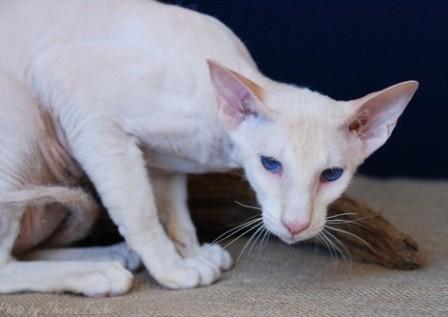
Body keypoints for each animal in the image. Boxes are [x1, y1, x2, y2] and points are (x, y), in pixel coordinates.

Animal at [0, 0, 416, 296]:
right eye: (270, 164)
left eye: (332, 175)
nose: (296, 225)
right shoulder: (87, 111)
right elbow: (141, 211)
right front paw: (172, 269)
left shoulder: (163, 163)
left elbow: (175, 213)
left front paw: (193, 253)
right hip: (24, 120)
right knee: (4, 266)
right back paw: (97, 273)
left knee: (21, 251)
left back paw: (113, 255)